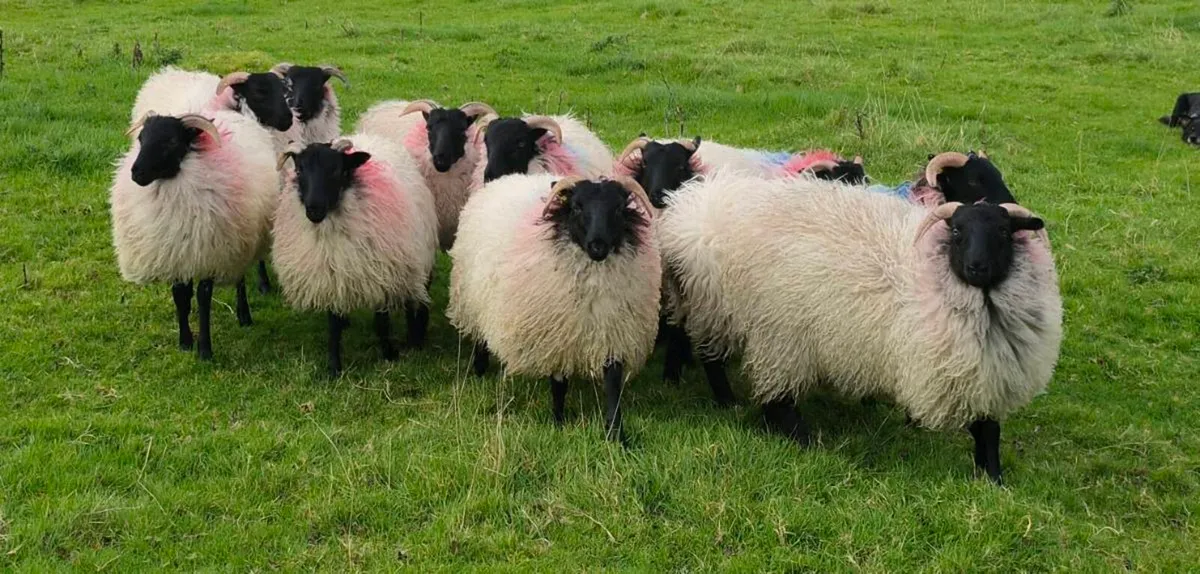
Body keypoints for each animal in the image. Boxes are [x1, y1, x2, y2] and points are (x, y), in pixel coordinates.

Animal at [110, 110, 279, 361]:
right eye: (141, 138)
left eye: (172, 141)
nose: (136, 173)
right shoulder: (178, 253)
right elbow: (180, 296)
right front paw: (185, 341)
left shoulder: (209, 252)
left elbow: (202, 298)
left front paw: (205, 350)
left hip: (238, 241)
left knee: (239, 279)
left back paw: (244, 315)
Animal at [272, 135, 438, 377]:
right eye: (300, 169)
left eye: (336, 170)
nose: (314, 209)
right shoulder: (331, 276)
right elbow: (333, 326)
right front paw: (334, 368)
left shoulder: (382, 274)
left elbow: (381, 321)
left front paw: (389, 354)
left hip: (413, 259)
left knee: (413, 299)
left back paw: (414, 337)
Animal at [447, 174, 661, 441]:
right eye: (577, 207)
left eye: (619, 208)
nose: (598, 246)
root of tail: (509, 178)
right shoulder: (556, 334)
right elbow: (559, 384)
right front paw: (558, 421)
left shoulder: (613, 333)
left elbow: (612, 386)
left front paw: (616, 434)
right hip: (472, 300)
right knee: (479, 338)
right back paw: (479, 370)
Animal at [658, 172, 1062, 483]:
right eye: (958, 231)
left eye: (1004, 233)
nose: (977, 266)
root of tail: (690, 206)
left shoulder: (986, 370)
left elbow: (988, 430)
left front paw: (992, 479)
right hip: (758, 326)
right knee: (760, 389)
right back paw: (784, 431)